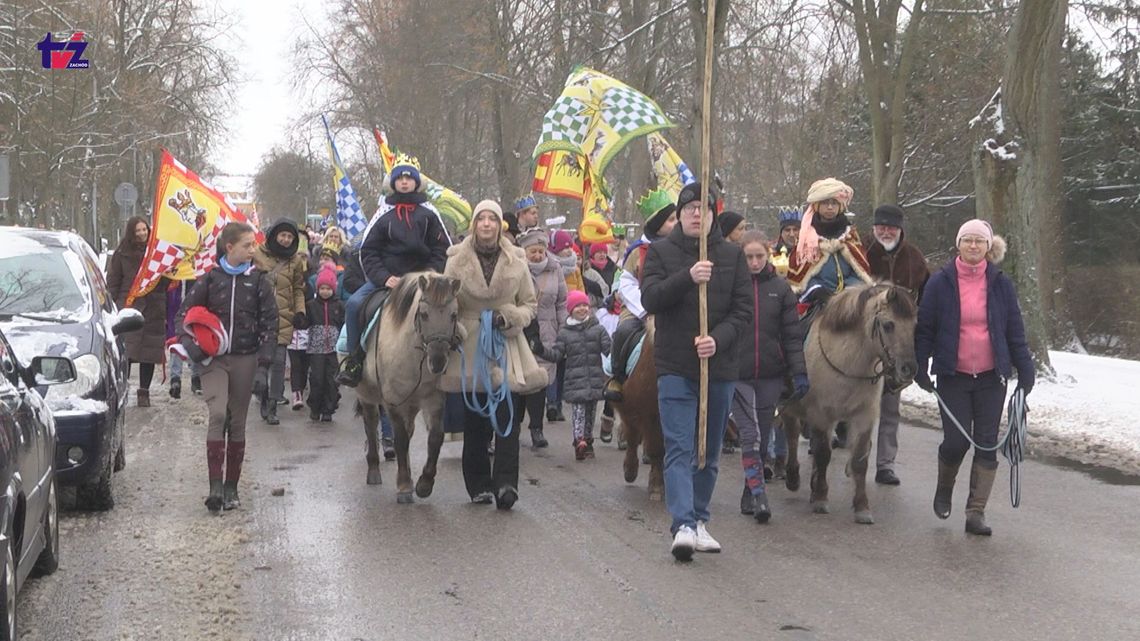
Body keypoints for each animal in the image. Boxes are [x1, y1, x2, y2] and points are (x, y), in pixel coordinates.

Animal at [611, 317, 665, 497]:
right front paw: (657, 486)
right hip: (629, 411)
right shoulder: (650, 415)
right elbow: (657, 449)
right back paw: (630, 470)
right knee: (633, 439)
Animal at [779, 281, 921, 522]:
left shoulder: (864, 416)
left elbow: (860, 460)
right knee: (790, 435)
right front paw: (821, 498)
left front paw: (862, 507)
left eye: (914, 325)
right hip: (789, 406)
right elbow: (823, 454)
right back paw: (791, 476)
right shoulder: (821, 415)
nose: (908, 369)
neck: (846, 362)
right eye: (888, 325)